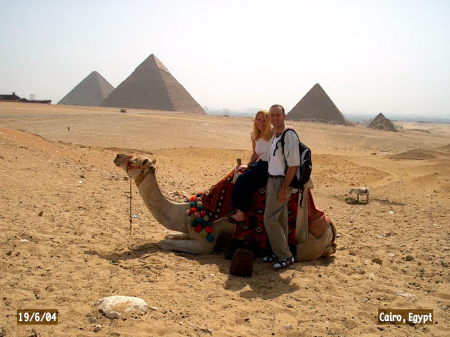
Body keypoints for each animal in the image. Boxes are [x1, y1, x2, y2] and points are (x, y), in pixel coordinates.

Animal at [114, 152, 336, 260]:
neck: (185, 211)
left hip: (305, 246)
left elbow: (163, 242)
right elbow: (168, 236)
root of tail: (329, 228)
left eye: (136, 159)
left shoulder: (205, 243)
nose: (117, 156)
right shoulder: (188, 230)